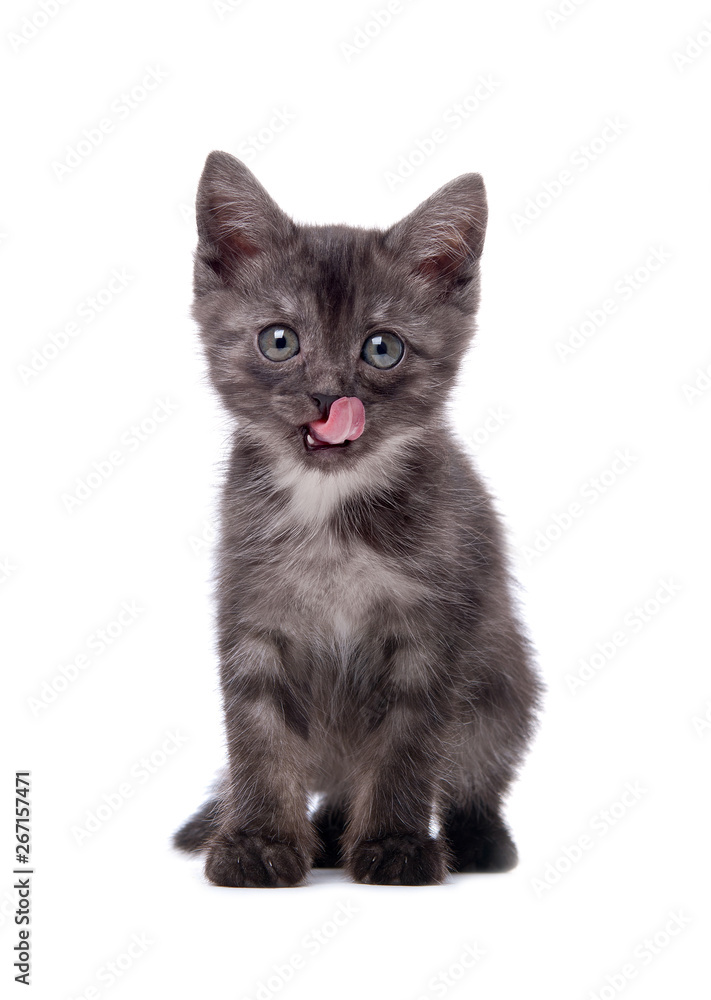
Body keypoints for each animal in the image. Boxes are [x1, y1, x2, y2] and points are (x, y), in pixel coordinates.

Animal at [174, 148, 540, 884]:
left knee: (476, 770)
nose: (327, 397)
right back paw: (324, 833)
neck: (330, 511)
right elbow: (257, 737)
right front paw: (257, 842)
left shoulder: (430, 633)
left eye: (382, 348)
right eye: (279, 340)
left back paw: (475, 839)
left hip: (504, 686)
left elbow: (407, 745)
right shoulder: (254, 616)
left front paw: (396, 845)